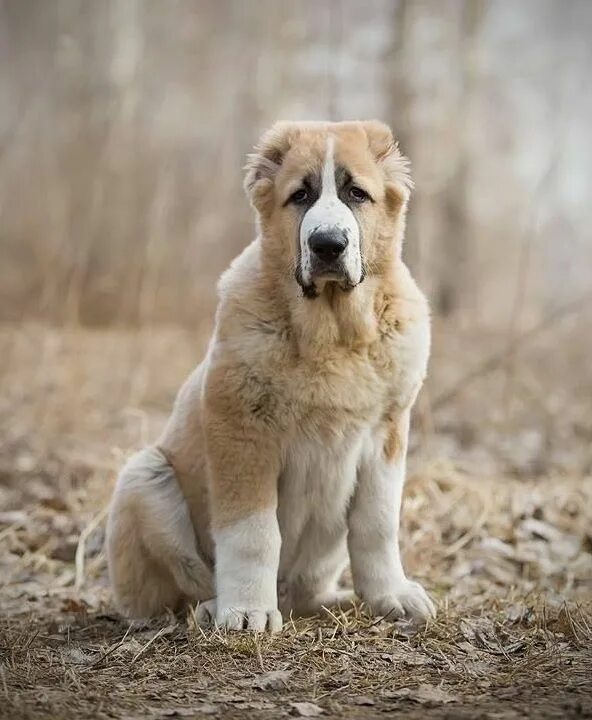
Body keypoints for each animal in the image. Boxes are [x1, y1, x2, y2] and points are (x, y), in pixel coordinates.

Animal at [107, 121, 434, 632]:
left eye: (357, 194)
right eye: (300, 195)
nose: (327, 245)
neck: (333, 335)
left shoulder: (388, 434)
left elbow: (377, 524)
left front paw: (391, 595)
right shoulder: (242, 432)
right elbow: (253, 533)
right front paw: (246, 611)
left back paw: (332, 600)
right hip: (144, 476)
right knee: (183, 587)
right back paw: (213, 607)